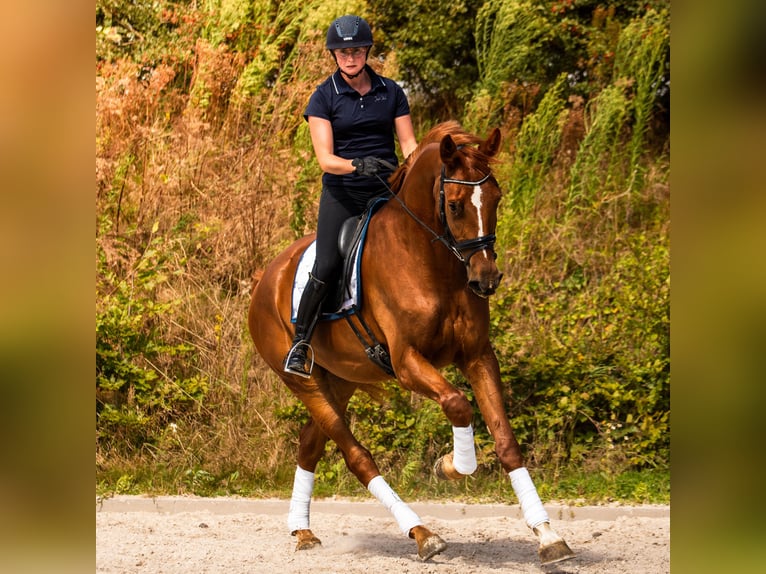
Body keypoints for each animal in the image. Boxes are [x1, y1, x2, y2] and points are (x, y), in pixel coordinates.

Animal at [249, 122, 572, 568]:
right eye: (454, 205)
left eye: (497, 198)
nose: (486, 279)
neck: (435, 265)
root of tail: (267, 276)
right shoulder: (406, 362)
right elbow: (457, 404)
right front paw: (450, 466)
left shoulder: (477, 356)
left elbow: (506, 441)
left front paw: (548, 535)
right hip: (301, 378)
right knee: (355, 454)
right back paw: (423, 534)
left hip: (342, 378)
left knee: (311, 442)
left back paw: (303, 531)